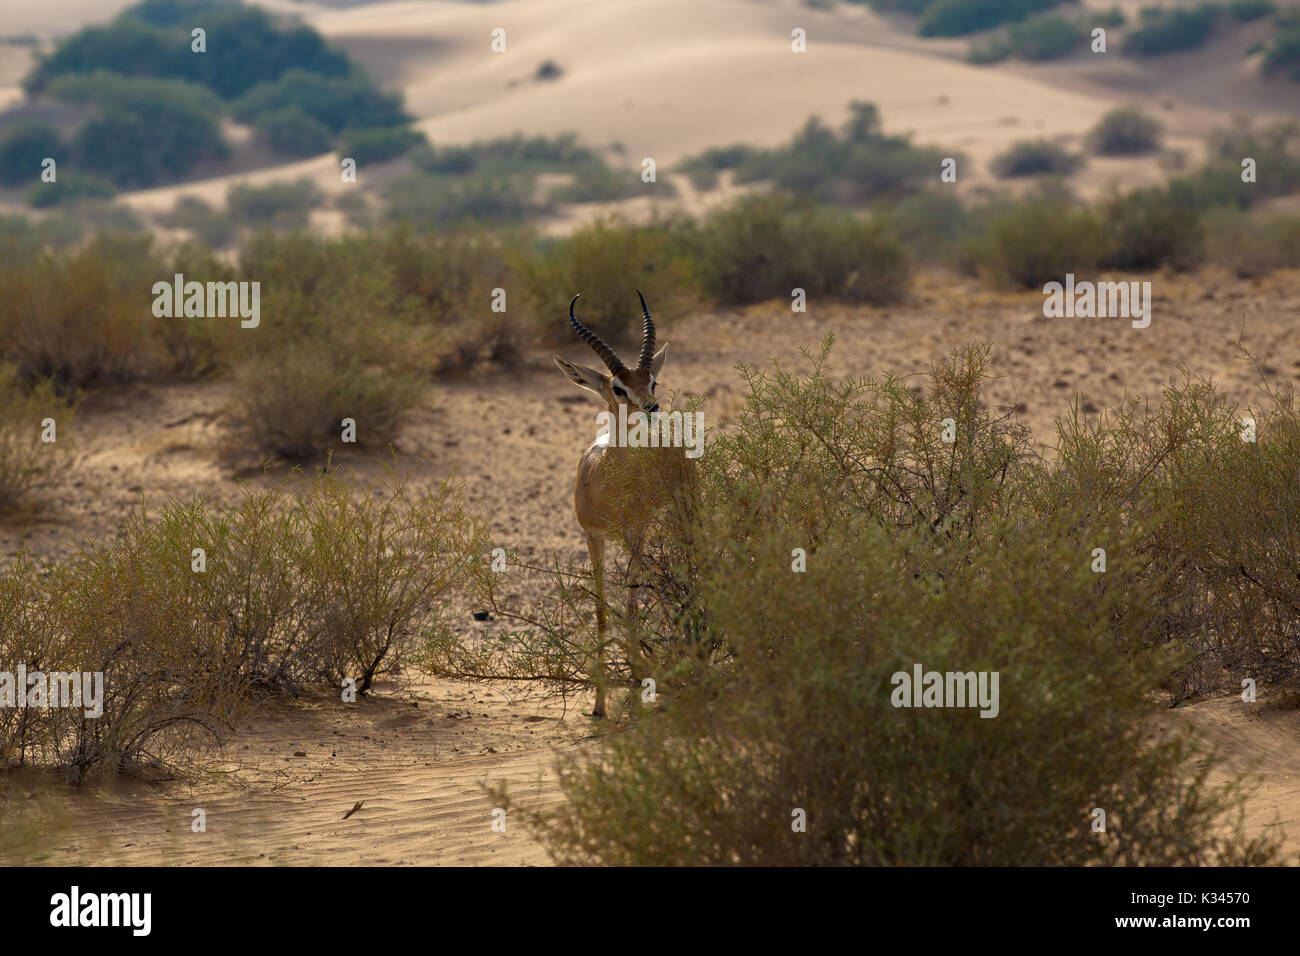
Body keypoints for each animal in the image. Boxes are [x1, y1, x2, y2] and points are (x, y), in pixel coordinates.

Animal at [554, 291, 688, 717]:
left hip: (677, 520)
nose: (651, 408)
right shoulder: (592, 537)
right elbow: (601, 610)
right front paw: (599, 705)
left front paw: (637, 683)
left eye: (652, 380)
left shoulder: (636, 534)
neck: (606, 487)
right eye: (617, 387)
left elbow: (629, 605)